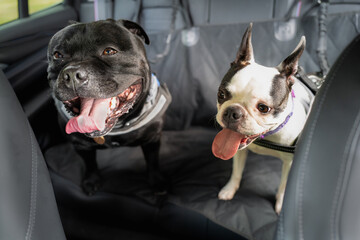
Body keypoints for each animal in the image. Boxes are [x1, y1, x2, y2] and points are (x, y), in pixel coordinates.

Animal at [46, 19, 172, 195]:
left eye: (109, 51)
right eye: (58, 55)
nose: (72, 74)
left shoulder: (152, 138)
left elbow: (152, 161)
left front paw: (157, 182)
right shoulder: (81, 145)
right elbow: (90, 163)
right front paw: (92, 180)